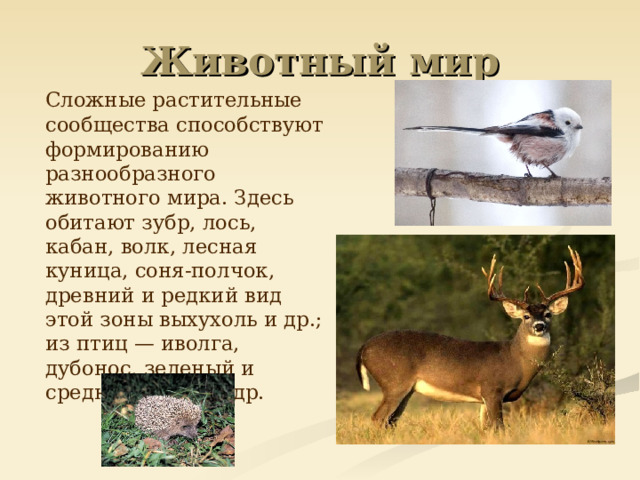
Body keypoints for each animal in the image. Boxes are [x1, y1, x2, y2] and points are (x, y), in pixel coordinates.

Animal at [356, 246, 584, 429]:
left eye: (548, 314)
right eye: (526, 316)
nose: (539, 326)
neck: (516, 360)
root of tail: (363, 348)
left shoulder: (484, 399)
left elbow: (486, 429)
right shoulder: (492, 389)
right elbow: (499, 427)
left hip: (406, 389)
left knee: (390, 421)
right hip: (394, 382)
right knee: (378, 418)